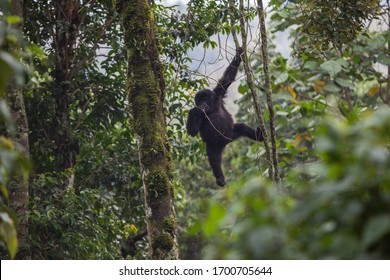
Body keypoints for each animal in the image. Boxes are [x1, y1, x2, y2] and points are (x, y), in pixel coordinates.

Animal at [187, 48, 266, 186]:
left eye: (206, 98)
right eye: (200, 100)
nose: (203, 104)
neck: (211, 109)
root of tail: (226, 142)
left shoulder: (217, 94)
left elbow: (227, 79)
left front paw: (238, 54)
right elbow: (192, 131)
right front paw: (195, 110)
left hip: (231, 133)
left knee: (241, 127)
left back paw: (259, 136)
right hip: (214, 145)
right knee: (213, 158)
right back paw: (220, 178)